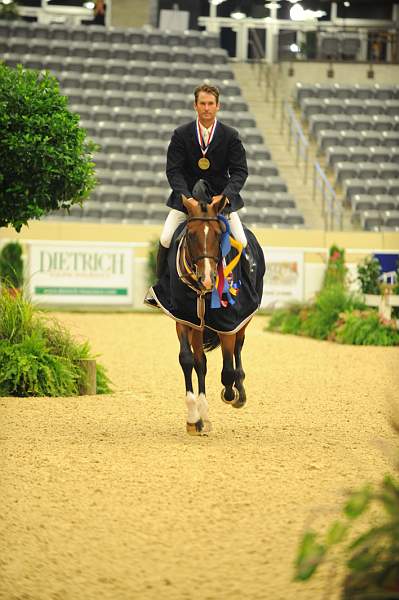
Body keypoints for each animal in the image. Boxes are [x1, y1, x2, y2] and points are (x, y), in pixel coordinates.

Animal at [147, 195, 266, 434]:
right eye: (191, 235)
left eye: (219, 235)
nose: (208, 279)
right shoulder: (184, 318)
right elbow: (187, 360)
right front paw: (194, 418)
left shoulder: (228, 323)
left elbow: (227, 369)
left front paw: (230, 394)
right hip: (198, 327)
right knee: (200, 361)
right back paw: (203, 414)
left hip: (243, 319)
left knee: (238, 347)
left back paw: (239, 392)